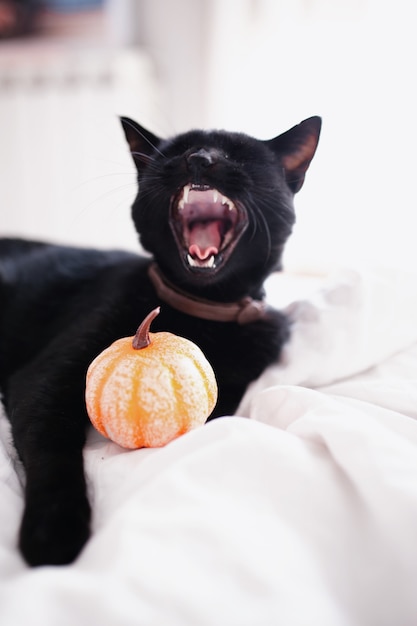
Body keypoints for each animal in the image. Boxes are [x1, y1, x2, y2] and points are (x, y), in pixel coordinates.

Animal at [0, 113, 320, 564]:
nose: (200, 158)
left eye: (239, 155)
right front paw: (55, 532)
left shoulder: (233, 388)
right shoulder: (45, 379)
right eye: (177, 151)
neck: (200, 312)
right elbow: (53, 447)